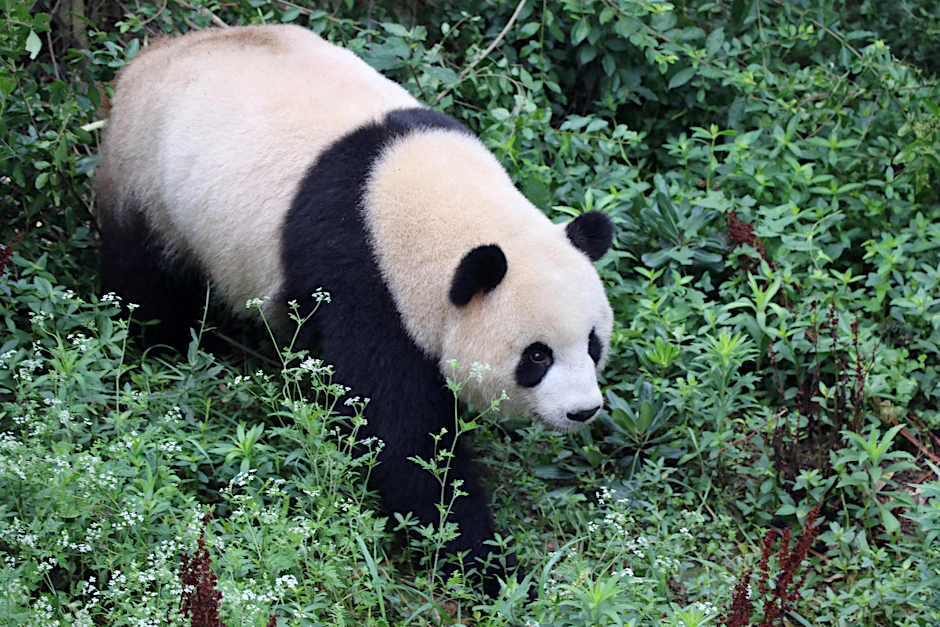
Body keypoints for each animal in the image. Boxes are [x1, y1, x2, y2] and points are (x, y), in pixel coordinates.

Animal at [97, 24, 615, 593]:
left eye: (593, 344)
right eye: (537, 356)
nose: (583, 410)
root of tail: (154, 53)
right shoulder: (363, 278)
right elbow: (400, 434)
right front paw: (487, 564)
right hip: (147, 175)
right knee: (144, 276)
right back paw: (160, 346)